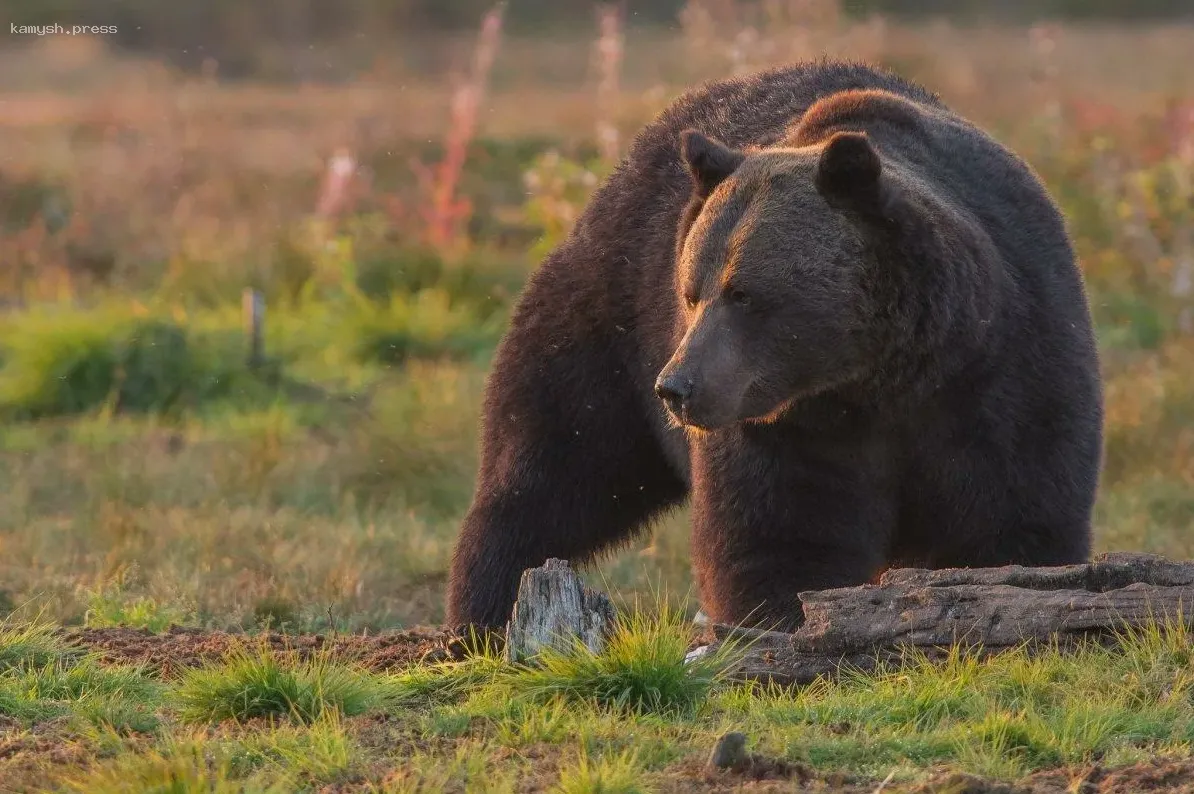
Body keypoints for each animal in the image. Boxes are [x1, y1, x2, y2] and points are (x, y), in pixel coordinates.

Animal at [444, 60, 1103, 630]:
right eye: (691, 291)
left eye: (744, 294)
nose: (677, 388)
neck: (880, 379)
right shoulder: (789, 423)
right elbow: (782, 533)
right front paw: (785, 617)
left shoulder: (1004, 373)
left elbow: (1012, 518)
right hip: (608, 317)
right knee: (550, 465)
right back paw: (482, 611)